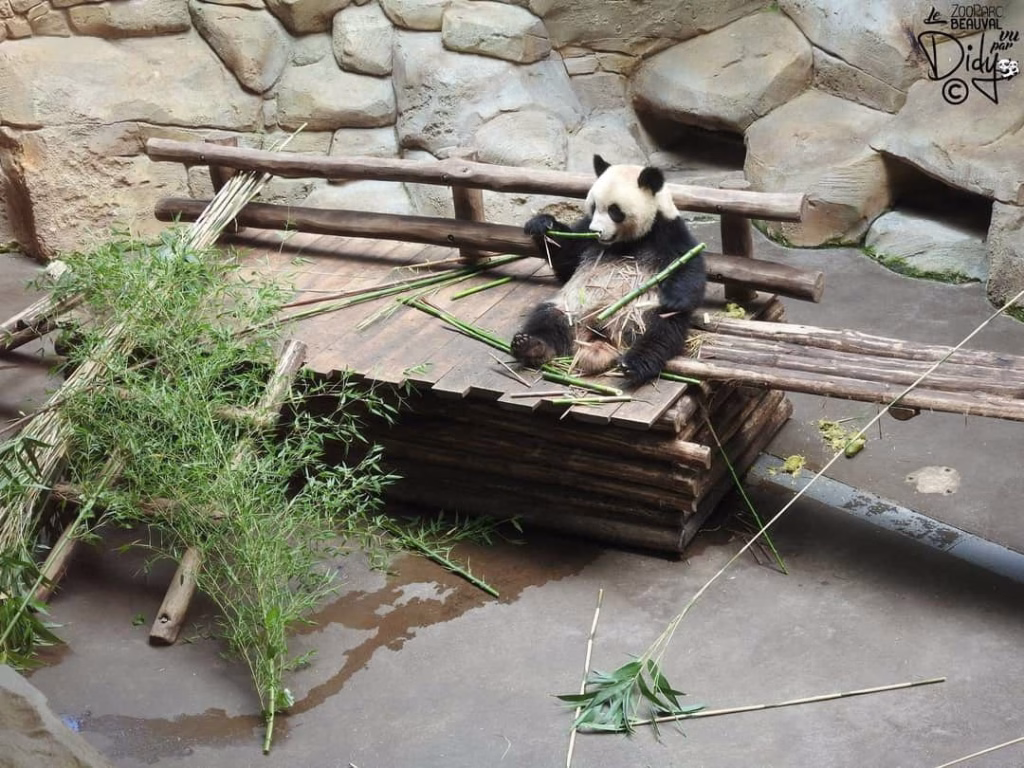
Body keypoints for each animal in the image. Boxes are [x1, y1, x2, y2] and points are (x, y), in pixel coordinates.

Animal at [511, 154, 706, 387]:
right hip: (571, 308)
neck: (625, 241)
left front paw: (674, 298)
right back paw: (531, 346)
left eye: (615, 211)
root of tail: (601, 334)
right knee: (548, 318)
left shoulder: (668, 232)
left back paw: (635, 363)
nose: (596, 231)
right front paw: (542, 224)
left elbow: (689, 265)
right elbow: (567, 259)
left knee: (661, 331)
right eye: (594, 206)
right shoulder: (585, 236)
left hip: (638, 315)